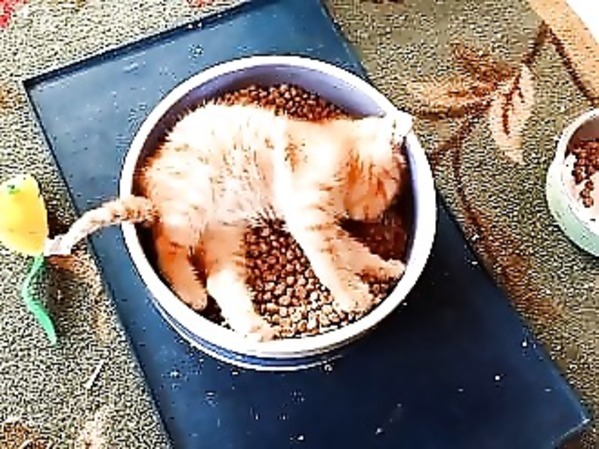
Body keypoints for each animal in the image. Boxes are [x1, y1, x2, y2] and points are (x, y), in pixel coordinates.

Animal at [46, 102, 412, 341]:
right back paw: (190, 290)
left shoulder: (322, 223)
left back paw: (253, 327)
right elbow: (330, 262)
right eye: (391, 187)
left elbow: (352, 252)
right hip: (191, 203)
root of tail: (148, 186)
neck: (340, 147)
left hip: (224, 236)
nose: (379, 214)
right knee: (165, 245)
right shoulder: (308, 214)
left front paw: (384, 269)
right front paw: (351, 295)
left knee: (219, 282)